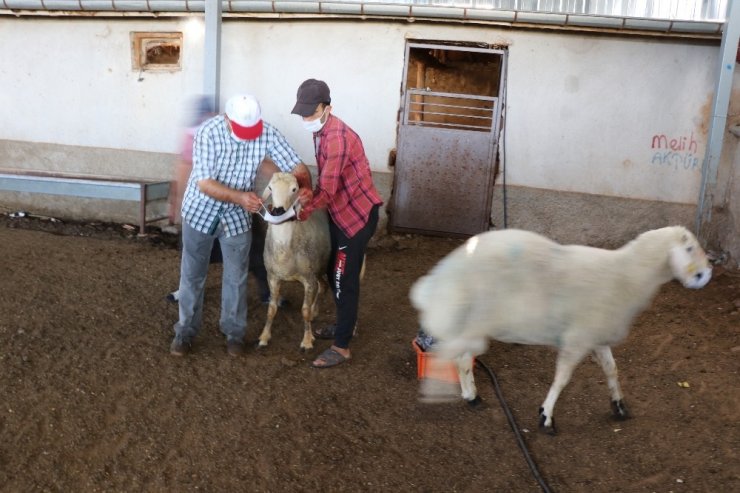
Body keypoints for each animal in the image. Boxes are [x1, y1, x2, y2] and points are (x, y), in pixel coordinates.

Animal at [258, 172, 330, 350]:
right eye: (270, 187)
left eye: (294, 189)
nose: (278, 210)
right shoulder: (272, 277)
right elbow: (271, 308)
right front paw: (264, 336)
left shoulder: (309, 279)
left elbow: (304, 311)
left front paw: (307, 340)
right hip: (318, 268)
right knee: (324, 286)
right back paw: (315, 311)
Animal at [408, 225, 712, 432]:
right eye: (689, 249)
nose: (704, 276)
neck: (627, 275)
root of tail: (448, 266)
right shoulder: (578, 339)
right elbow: (562, 379)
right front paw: (546, 415)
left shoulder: (597, 336)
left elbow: (612, 370)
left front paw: (618, 404)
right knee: (460, 358)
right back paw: (463, 394)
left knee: (460, 358)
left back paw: (470, 394)